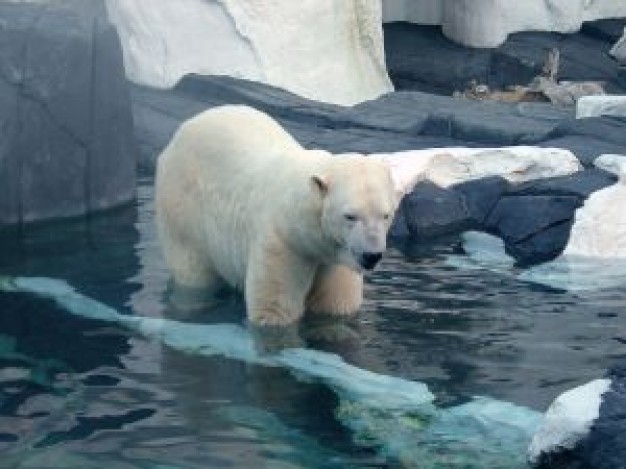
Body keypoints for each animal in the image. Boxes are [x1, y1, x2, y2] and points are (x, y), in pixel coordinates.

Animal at [155, 105, 398, 326]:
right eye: (350, 216)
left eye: (385, 215)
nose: (372, 255)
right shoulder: (282, 242)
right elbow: (275, 308)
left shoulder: (334, 257)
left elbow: (337, 305)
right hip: (182, 209)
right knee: (193, 272)